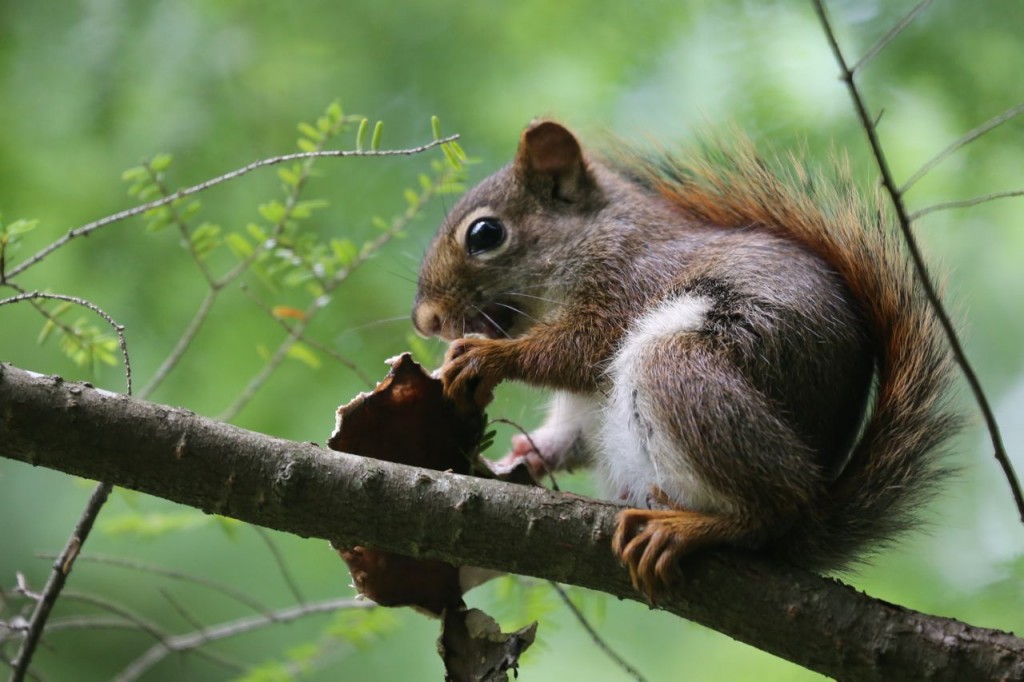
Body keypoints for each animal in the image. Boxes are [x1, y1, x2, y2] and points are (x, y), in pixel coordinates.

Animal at [409, 120, 958, 593]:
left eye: (485, 235)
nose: (426, 321)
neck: (592, 236)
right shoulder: (583, 409)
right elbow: (569, 435)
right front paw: (520, 454)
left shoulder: (630, 281)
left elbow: (581, 349)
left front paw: (488, 357)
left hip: (678, 371)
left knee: (775, 509)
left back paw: (690, 529)